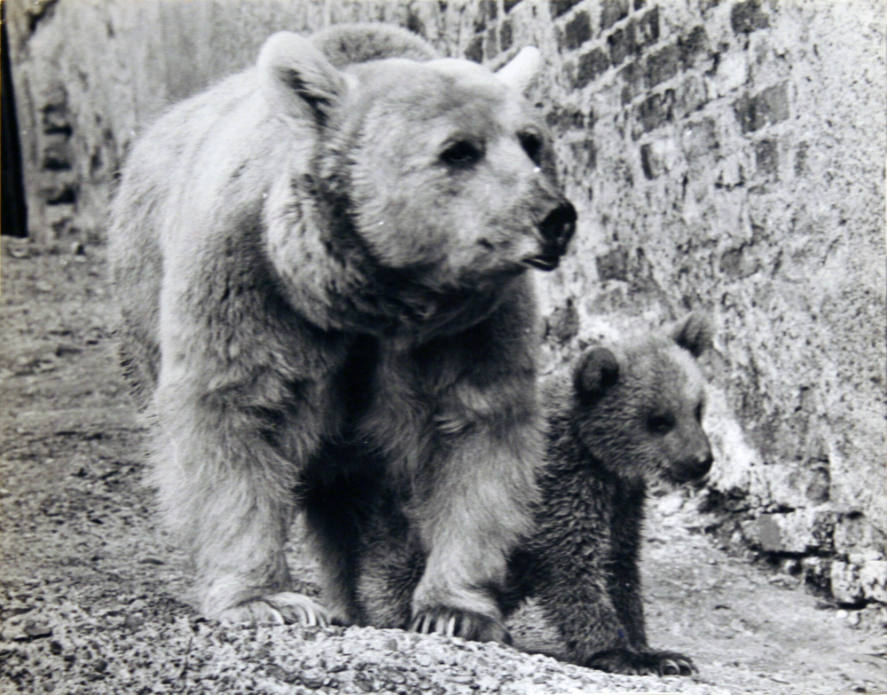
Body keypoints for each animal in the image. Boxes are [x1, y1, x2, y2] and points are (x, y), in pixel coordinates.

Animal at [107, 21, 576, 644]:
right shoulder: (249, 279)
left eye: (532, 142)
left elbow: (479, 431)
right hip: (140, 307)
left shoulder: (472, 325)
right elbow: (232, 414)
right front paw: (265, 600)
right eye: (458, 150)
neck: (369, 295)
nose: (555, 217)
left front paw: (456, 610)